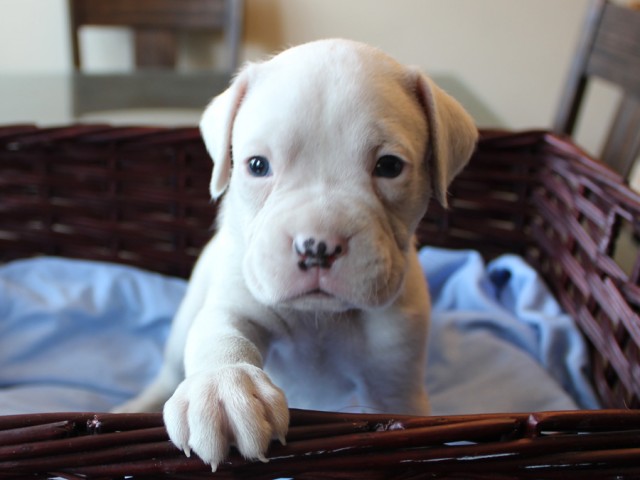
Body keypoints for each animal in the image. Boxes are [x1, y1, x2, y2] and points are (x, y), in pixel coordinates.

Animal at [115, 39, 478, 470]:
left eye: (389, 166)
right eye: (257, 165)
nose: (317, 246)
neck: (320, 318)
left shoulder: (394, 383)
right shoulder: (237, 302)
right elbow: (223, 334)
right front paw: (225, 389)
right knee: (168, 372)